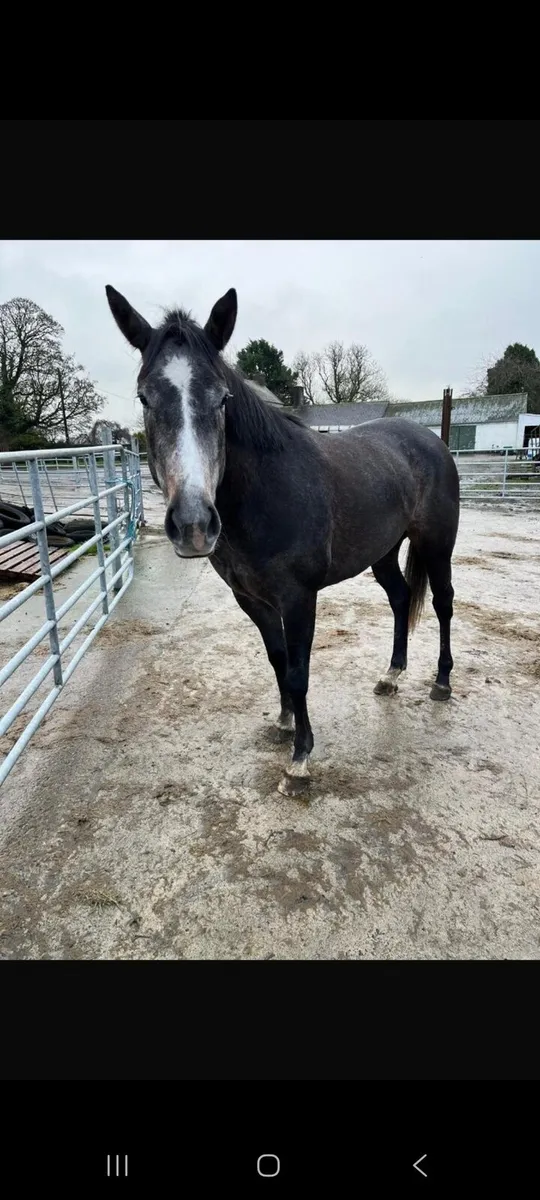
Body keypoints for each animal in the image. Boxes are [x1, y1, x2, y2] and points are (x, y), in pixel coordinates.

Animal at [106, 284, 460, 797]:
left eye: (222, 399)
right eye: (145, 397)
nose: (193, 524)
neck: (267, 493)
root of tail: (431, 441)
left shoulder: (299, 598)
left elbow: (298, 671)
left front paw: (300, 760)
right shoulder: (251, 599)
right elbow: (277, 662)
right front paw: (284, 723)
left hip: (436, 543)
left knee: (443, 602)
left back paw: (442, 683)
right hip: (384, 552)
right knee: (400, 597)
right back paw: (391, 676)